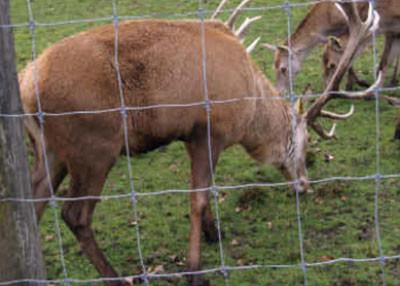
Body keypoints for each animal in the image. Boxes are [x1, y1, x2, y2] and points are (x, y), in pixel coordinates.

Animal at [18, 2, 380, 286]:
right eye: (305, 144)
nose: (304, 184)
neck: (249, 109)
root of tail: (25, 84)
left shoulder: (191, 136)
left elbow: (206, 191)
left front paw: (213, 232)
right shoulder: (208, 132)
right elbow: (198, 198)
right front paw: (195, 270)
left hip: (52, 150)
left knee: (33, 200)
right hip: (93, 147)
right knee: (75, 214)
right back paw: (117, 278)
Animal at [264, 0, 398, 94]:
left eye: (283, 68)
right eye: (273, 67)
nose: (279, 92)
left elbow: (347, 56)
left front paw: (355, 83)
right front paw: (351, 83)